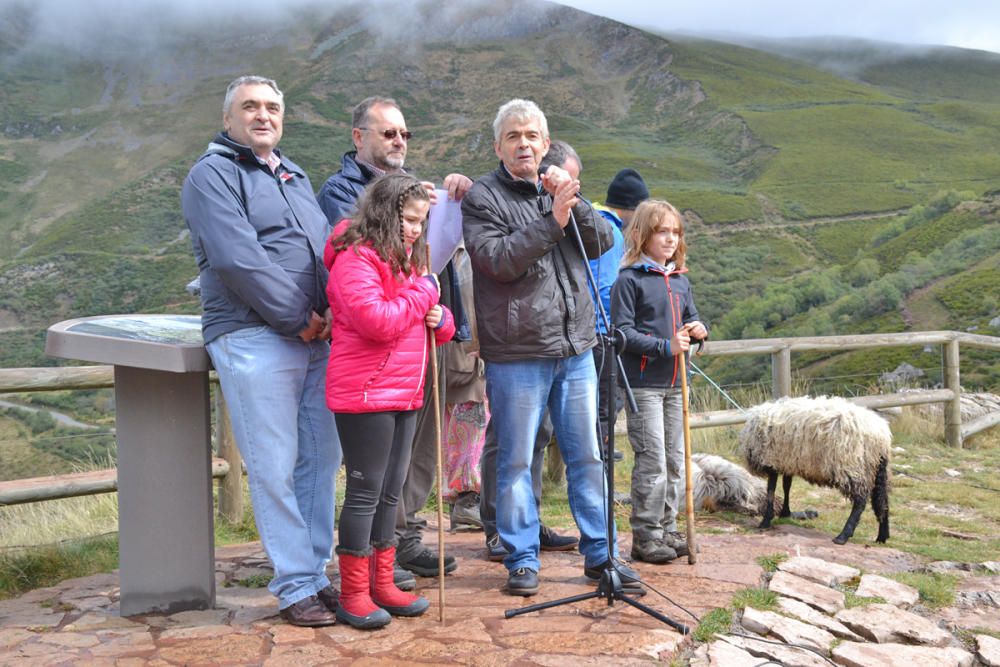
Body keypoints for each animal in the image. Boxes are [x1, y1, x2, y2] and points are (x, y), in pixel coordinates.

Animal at [736, 394, 892, 544]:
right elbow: (787, 486)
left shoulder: (772, 460)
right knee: (882, 499)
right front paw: (785, 512)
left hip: (851, 464)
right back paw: (882, 536)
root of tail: (881, 436)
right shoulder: (788, 461)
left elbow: (771, 490)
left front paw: (766, 520)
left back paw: (843, 536)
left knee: (860, 501)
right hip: (875, 467)